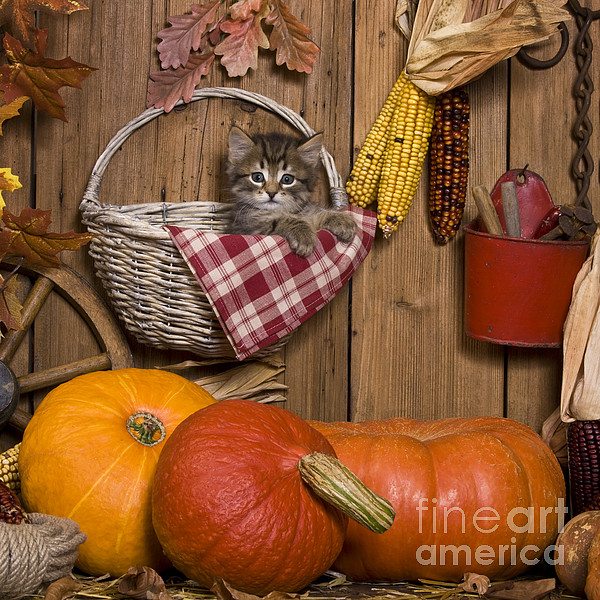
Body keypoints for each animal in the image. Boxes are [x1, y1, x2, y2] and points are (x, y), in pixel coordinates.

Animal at [225, 126, 356, 258]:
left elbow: (316, 215)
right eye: (257, 177)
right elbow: (281, 220)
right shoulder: (249, 228)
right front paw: (303, 233)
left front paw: (340, 218)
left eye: (287, 179)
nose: (271, 193)